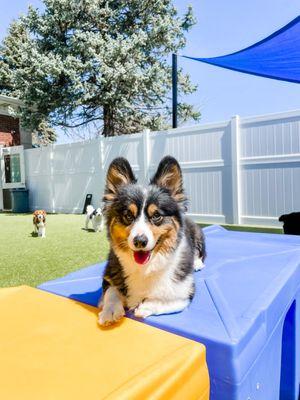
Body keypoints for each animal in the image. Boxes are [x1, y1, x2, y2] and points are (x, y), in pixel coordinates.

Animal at [97, 155, 205, 326]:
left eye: (156, 215)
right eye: (128, 215)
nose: (140, 241)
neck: (144, 268)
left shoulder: (185, 293)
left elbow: (166, 299)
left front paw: (145, 306)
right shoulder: (108, 277)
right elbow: (111, 291)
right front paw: (110, 311)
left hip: (198, 234)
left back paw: (197, 263)